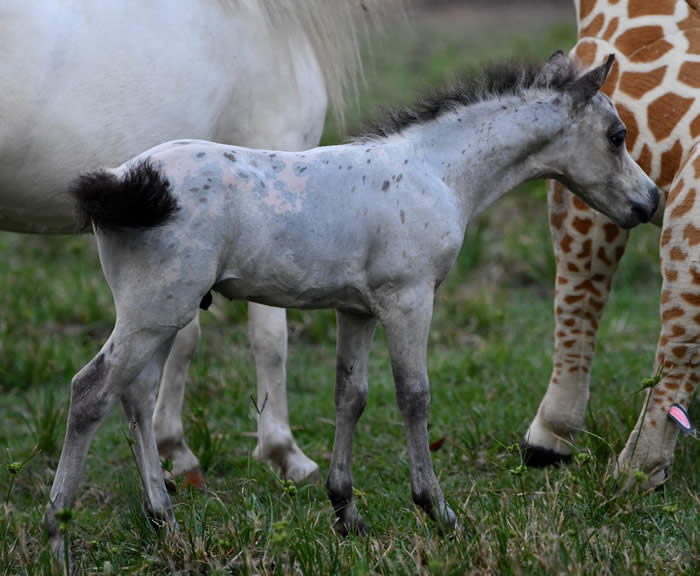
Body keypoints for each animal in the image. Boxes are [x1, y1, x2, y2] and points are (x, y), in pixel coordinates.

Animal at [50, 53, 658, 566]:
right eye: (617, 135)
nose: (650, 201)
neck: (437, 170)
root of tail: (125, 179)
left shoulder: (358, 310)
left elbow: (352, 396)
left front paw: (346, 514)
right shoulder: (408, 299)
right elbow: (414, 396)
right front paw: (438, 511)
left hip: (160, 316)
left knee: (135, 395)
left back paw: (165, 522)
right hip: (157, 310)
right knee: (90, 391)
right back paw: (59, 536)